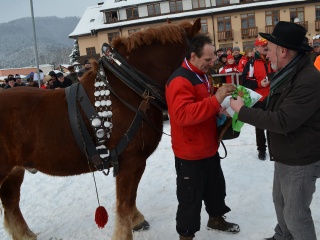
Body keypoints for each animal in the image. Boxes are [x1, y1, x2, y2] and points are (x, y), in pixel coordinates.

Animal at [0, 18, 200, 240]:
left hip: (14, 172)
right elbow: (124, 203)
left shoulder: (135, 162)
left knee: (10, 204)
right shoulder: (130, 161)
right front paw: (124, 233)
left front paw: (136, 220)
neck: (129, 87)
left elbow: (131, 197)